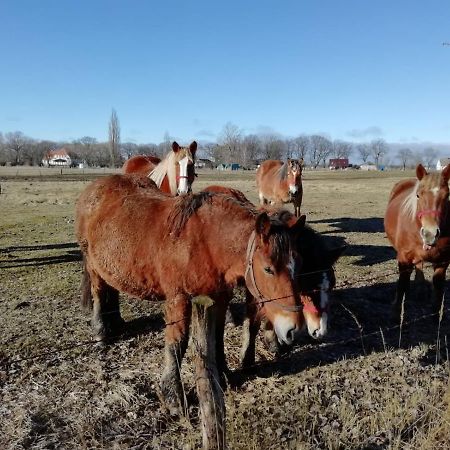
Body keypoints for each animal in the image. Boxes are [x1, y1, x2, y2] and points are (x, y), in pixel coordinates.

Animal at [75, 174, 304, 414]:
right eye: (268, 269)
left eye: (297, 263)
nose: (293, 329)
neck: (206, 241)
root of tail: (95, 187)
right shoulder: (179, 299)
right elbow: (177, 344)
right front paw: (173, 397)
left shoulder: (220, 298)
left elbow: (217, 336)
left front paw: (222, 375)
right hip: (93, 266)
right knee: (99, 293)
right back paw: (101, 331)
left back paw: (115, 323)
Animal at [201, 185, 344, 368]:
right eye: (309, 287)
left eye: (331, 285)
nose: (320, 331)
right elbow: (252, 323)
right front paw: (247, 359)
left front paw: (274, 342)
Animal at [384, 163, 450, 316]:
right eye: (418, 195)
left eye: (447, 196)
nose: (430, 234)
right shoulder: (403, 259)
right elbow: (401, 287)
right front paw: (396, 312)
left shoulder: (443, 262)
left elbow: (438, 292)